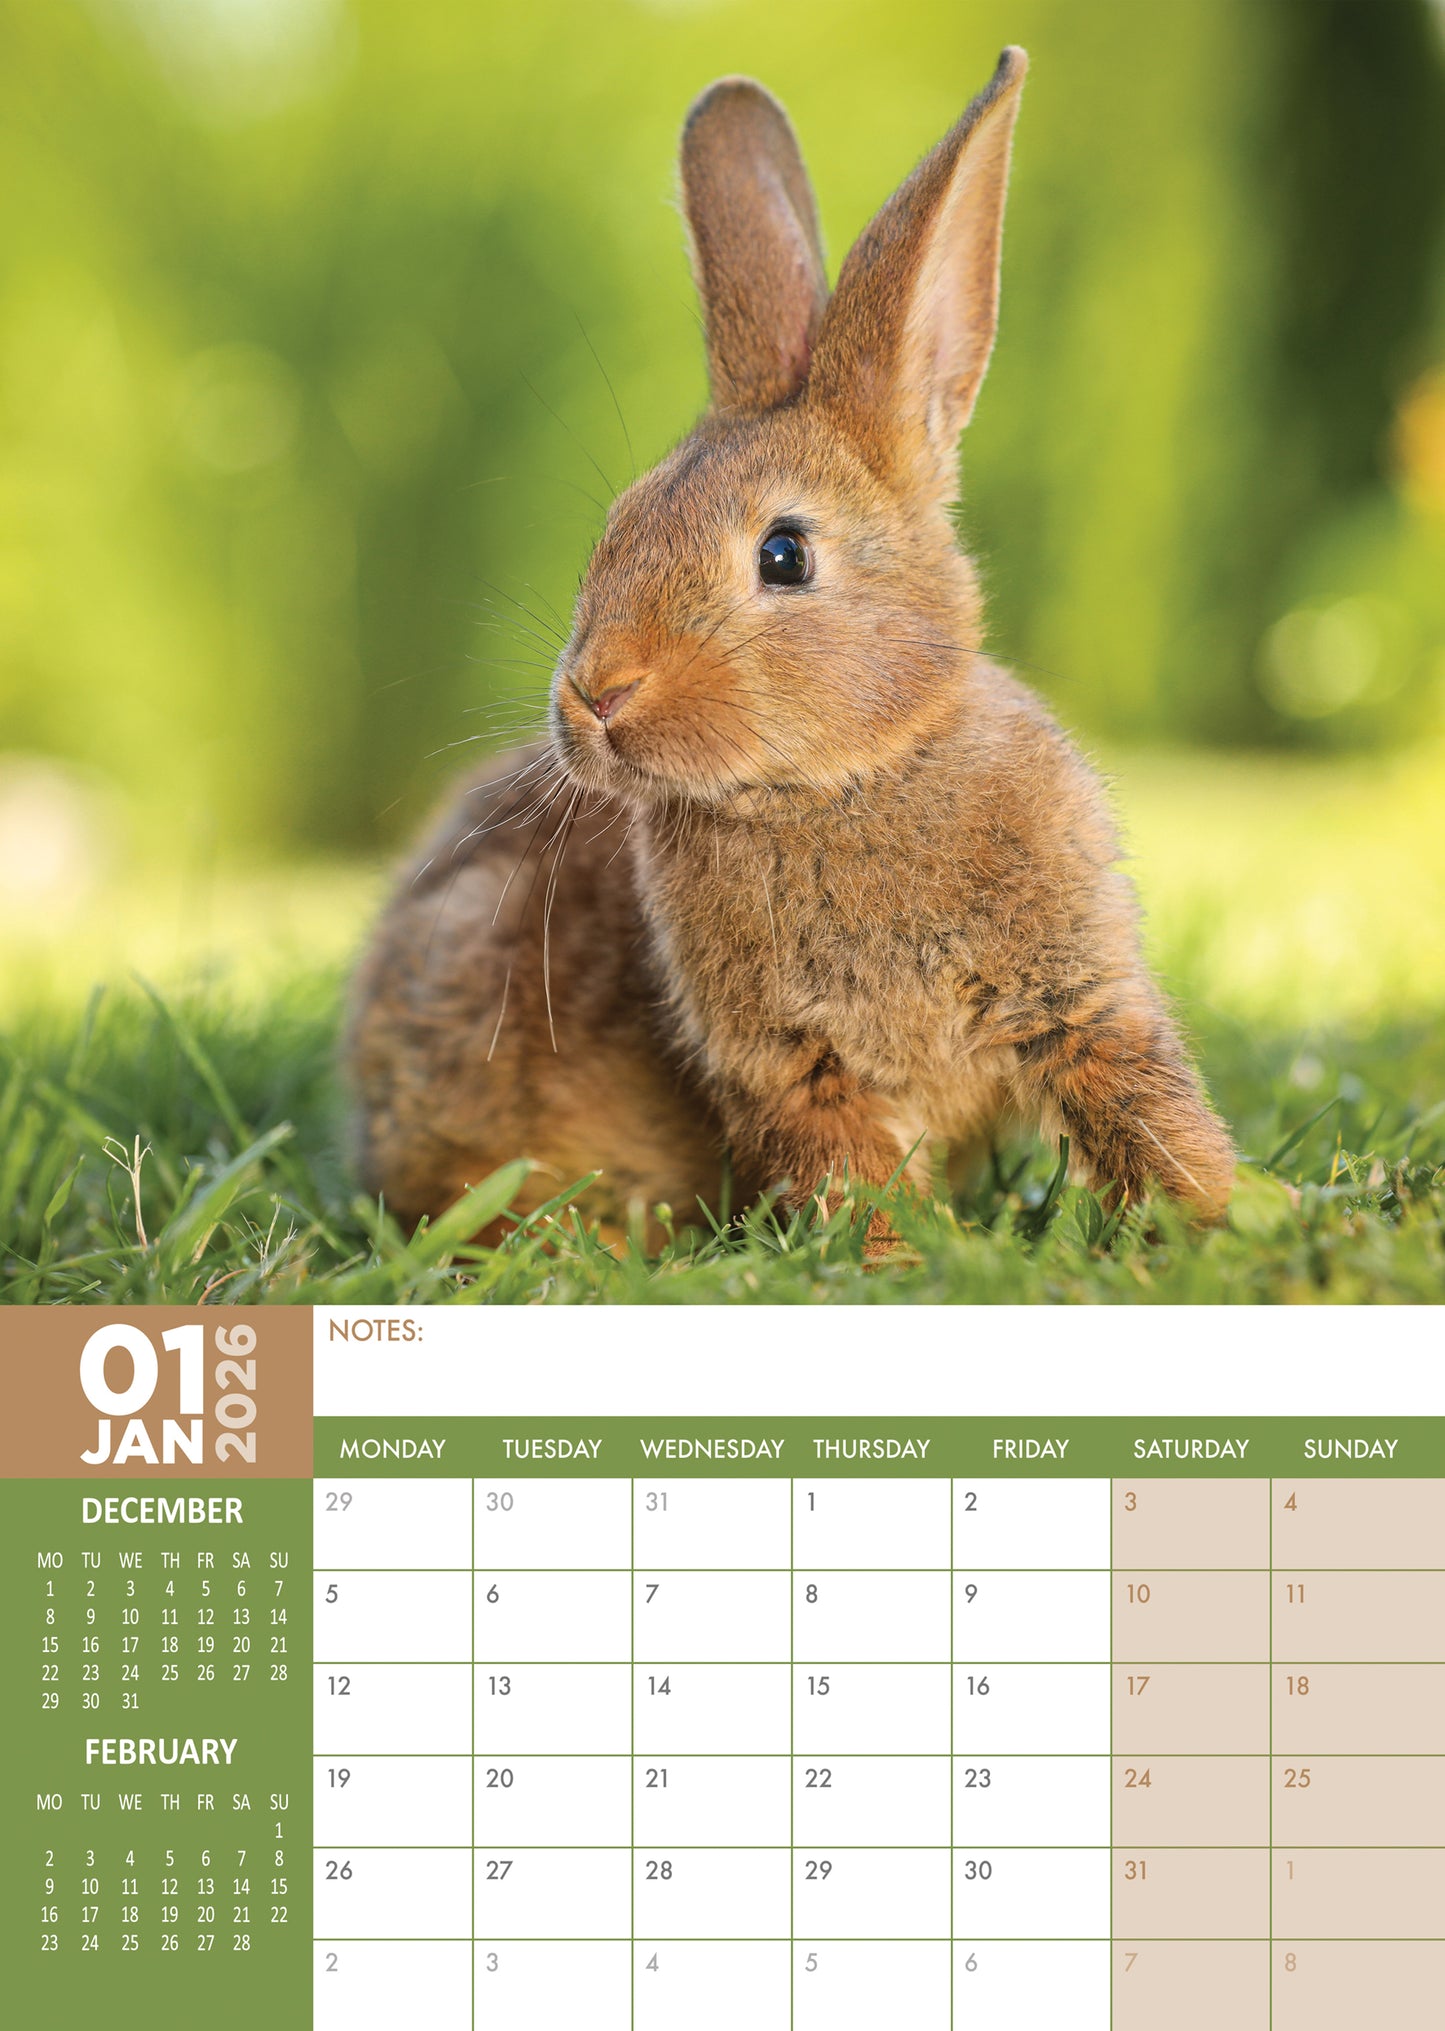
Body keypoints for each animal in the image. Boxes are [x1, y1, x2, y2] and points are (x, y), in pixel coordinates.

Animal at [349, 46, 1237, 1248]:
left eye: (783, 555)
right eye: (616, 528)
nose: (595, 697)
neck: (845, 781)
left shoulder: (1078, 997)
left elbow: (1144, 1105)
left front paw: (1232, 1216)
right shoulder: (792, 1068)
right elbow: (847, 1172)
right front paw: (897, 1261)